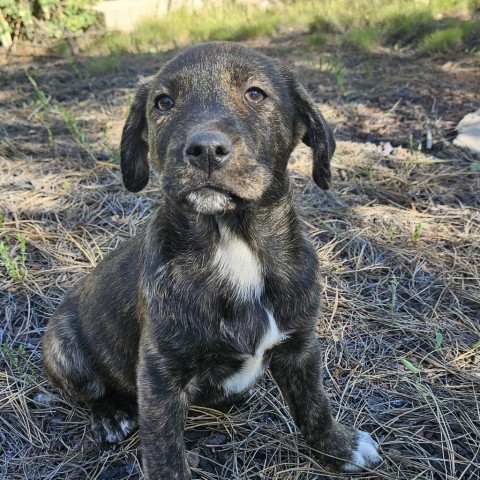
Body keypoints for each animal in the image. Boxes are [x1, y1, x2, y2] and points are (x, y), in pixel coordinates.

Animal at [45, 43, 382, 478]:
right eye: (164, 102)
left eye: (255, 94)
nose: (205, 149)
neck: (233, 241)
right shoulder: (159, 375)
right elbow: (165, 451)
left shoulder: (300, 346)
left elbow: (313, 404)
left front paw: (339, 447)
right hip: (62, 348)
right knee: (91, 391)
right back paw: (110, 416)